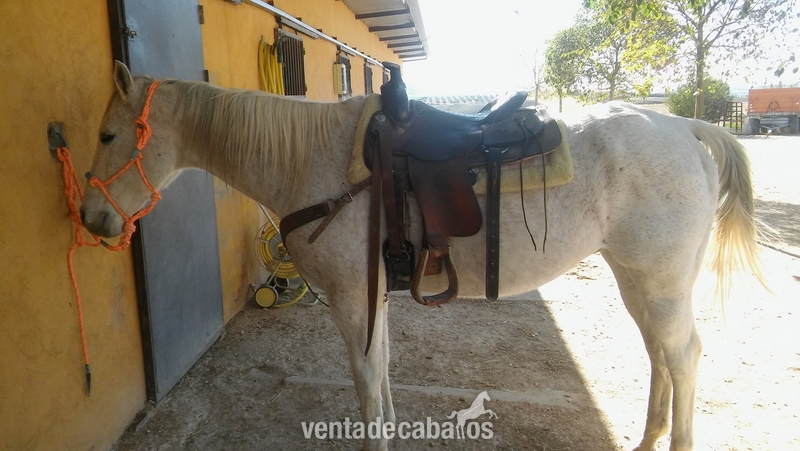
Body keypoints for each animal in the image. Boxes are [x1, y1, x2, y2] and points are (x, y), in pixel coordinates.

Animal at [80, 61, 763, 451]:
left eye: (109, 134)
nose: (90, 217)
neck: (314, 162)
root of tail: (687, 127)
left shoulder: (352, 301)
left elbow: (366, 386)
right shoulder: (373, 297)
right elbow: (381, 379)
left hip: (661, 283)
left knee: (683, 356)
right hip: (640, 280)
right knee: (660, 355)